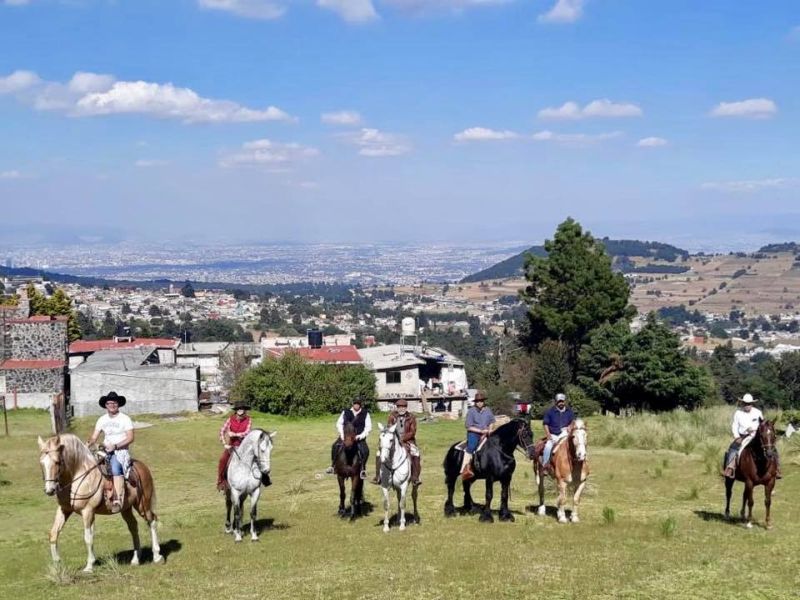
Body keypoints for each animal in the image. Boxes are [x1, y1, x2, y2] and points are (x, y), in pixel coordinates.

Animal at [38, 434, 162, 568]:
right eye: (41, 463)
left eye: (57, 462)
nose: (50, 490)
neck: (79, 476)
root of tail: (143, 467)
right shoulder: (64, 509)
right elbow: (53, 534)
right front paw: (57, 564)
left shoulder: (88, 511)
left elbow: (88, 537)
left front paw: (89, 565)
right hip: (126, 508)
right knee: (133, 526)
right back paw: (135, 559)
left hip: (142, 505)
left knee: (152, 520)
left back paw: (157, 555)